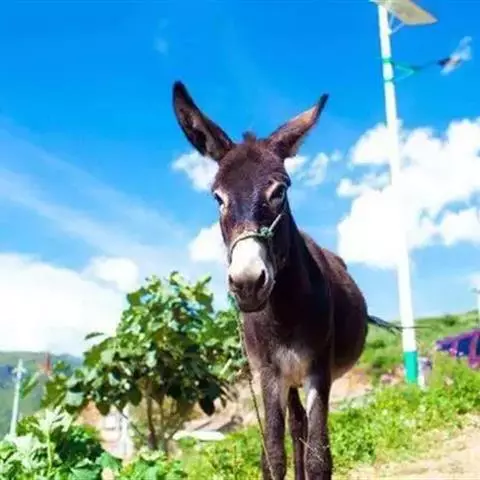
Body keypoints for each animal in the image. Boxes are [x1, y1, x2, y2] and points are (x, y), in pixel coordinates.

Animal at [172, 81, 395, 480]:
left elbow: (320, 457)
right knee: (296, 426)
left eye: (280, 191)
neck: (284, 311)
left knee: (303, 428)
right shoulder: (269, 374)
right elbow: (272, 456)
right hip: (287, 379)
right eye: (218, 198)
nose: (247, 282)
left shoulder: (318, 370)